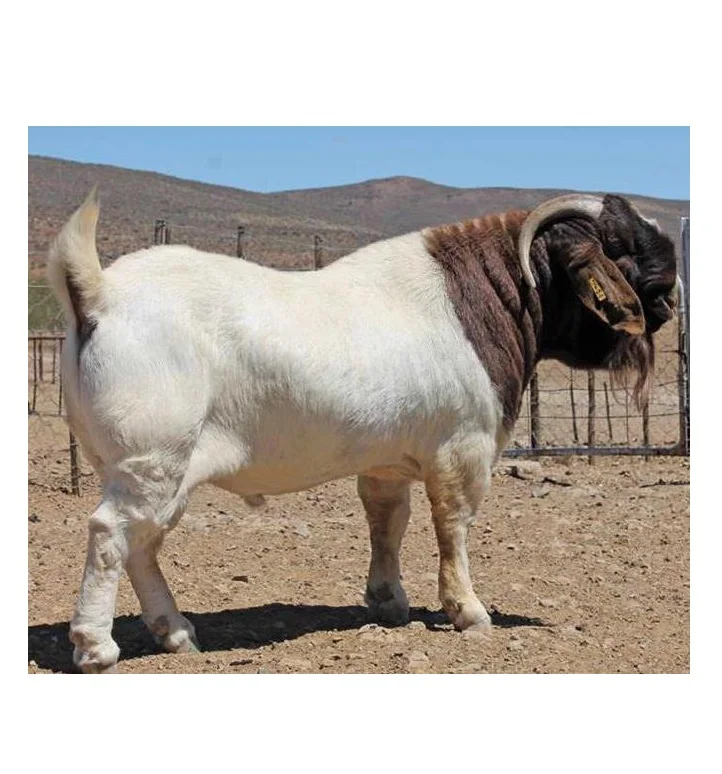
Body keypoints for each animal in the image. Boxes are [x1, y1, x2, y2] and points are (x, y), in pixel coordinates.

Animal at [47, 189, 679, 672]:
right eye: (618, 246)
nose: (671, 295)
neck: (479, 298)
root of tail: (98, 293)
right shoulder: (463, 448)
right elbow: (453, 526)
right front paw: (468, 611)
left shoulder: (385, 461)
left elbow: (386, 522)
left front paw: (388, 602)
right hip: (153, 458)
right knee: (110, 534)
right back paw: (95, 646)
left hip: (155, 469)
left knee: (143, 544)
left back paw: (176, 633)